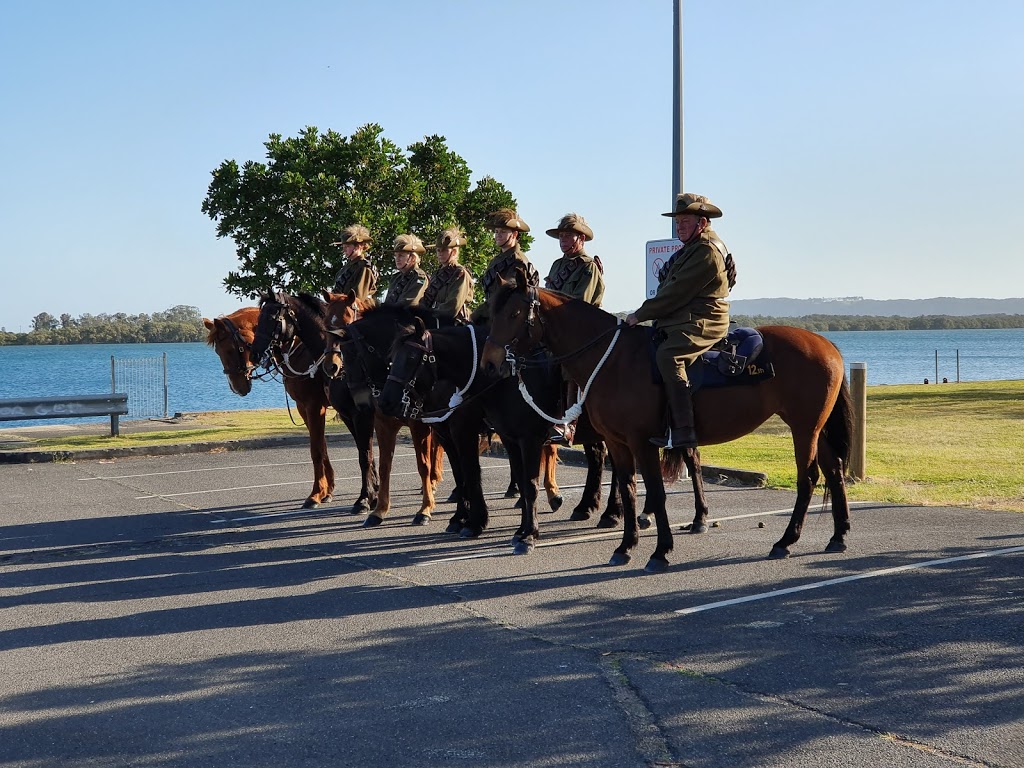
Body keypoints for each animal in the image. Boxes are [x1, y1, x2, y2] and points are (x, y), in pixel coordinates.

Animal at [483, 268, 851, 573]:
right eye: (491, 312)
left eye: (514, 313)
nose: (490, 363)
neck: (612, 360)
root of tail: (826, 344)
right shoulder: (617, 442)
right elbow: (629, 489)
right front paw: (625, 547)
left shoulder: (640, 441)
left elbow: (655, 493)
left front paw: (660, 552)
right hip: (817, 429)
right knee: (833, 471)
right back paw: (839, 535)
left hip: (804, 428)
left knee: (808, 477)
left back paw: (786, 541)